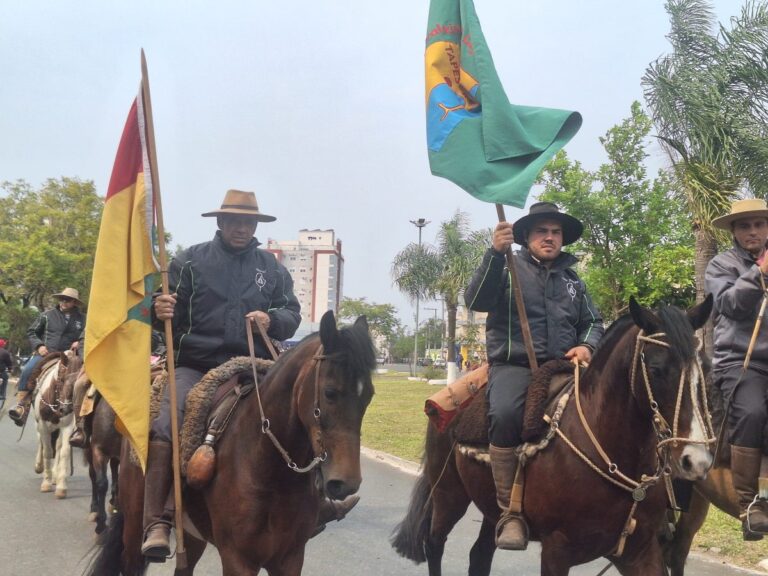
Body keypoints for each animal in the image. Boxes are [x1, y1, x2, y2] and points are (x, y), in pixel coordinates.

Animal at [87, 312, 376, 572]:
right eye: (330, 392)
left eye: (369, 396)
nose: (345, 483)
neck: (268, 468)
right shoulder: (238, 558)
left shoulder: (290, 557)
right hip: (135, 526)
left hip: (192, 535)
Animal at [392, 296, 716, 576]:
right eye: (657, 369)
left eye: (706, 368)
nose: (696, 461)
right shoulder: (557, 551)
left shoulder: (639, 552)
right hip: (448, 494)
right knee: (434, 544)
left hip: (491, 509)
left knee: (479, 556)